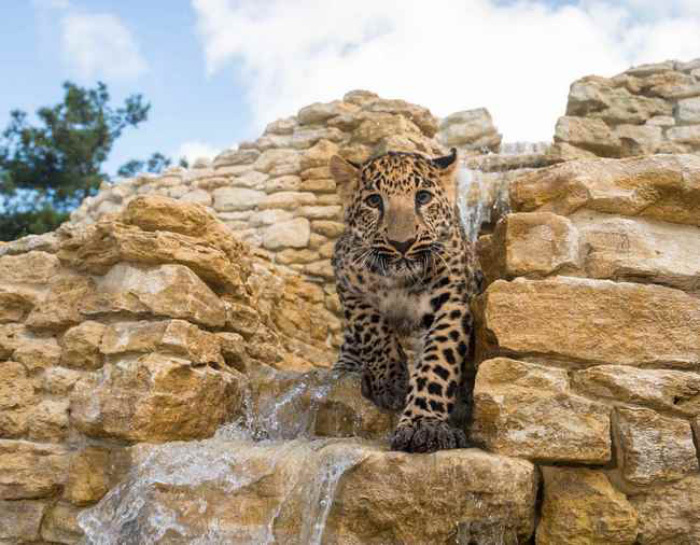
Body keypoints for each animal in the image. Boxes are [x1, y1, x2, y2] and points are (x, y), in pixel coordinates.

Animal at [330, 149, 482, 454]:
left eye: (422, 197)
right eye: (374, 201)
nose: (403, 244)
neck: (400, 281)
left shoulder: (453, 300)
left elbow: (438, 360)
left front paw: (424, 426)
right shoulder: (346, 280)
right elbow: (372, 330)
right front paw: (391, 382)